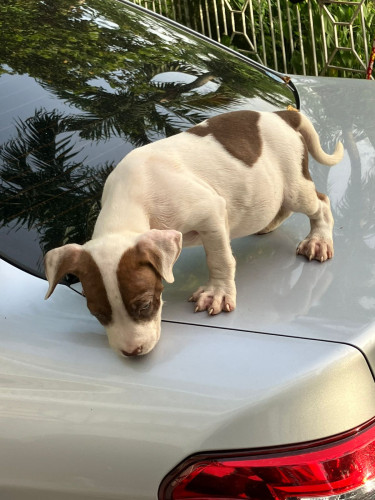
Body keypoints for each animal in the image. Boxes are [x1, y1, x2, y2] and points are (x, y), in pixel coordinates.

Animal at [43, 111, 344, 358]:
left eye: (145, 305)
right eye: (96, 313)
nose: (131, 352)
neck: (128, 201)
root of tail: (281, 114)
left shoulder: (211, 211)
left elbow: (219, 258)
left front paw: (217, 293)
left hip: (295, 185)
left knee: (320, 203)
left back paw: (319, 240)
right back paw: (269, 224)